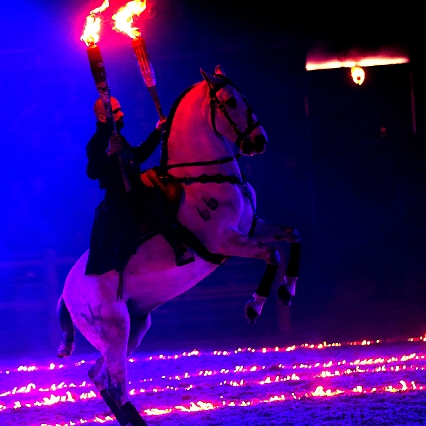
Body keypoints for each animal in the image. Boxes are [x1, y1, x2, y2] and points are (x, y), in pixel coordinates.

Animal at [61, 64, 300, 426]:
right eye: (230, 101)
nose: (260, 141)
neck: (205, 178)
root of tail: (66, 293)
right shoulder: (226, 240)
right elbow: (271, 254)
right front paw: (254, 306)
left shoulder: (254, 227)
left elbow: (292, 235)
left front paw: (287, 289)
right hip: (114, 330)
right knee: (115, 385)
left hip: (136, 326)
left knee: (98, 376)